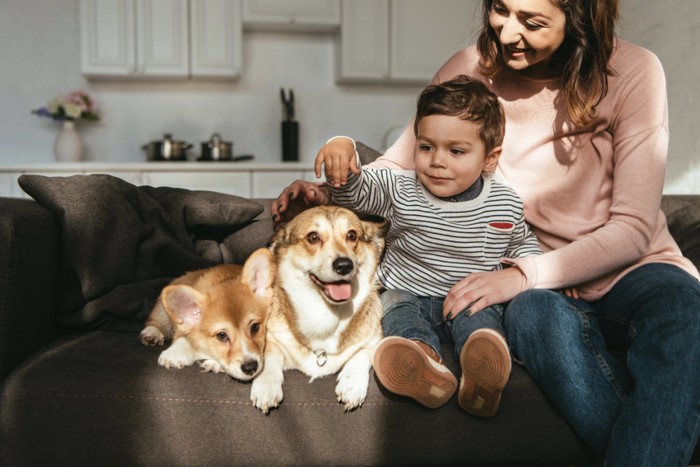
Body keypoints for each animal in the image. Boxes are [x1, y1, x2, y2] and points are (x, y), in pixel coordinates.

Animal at [139, 250, 274, 382]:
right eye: (222, 335)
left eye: (255, 327)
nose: (251, 367)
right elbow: (185, 337)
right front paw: (174, 354)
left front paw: (214, 363)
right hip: (162, 311)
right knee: (156, 321)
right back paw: (152, 334)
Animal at [249, 207, 386, 412]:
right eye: (313, 237)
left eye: (352, 235)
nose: (345, 265)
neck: (325, 314)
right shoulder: (272, 338)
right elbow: (270, 355)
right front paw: (266, 386)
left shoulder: (375, 341)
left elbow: (361, 354)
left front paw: (352, 384)